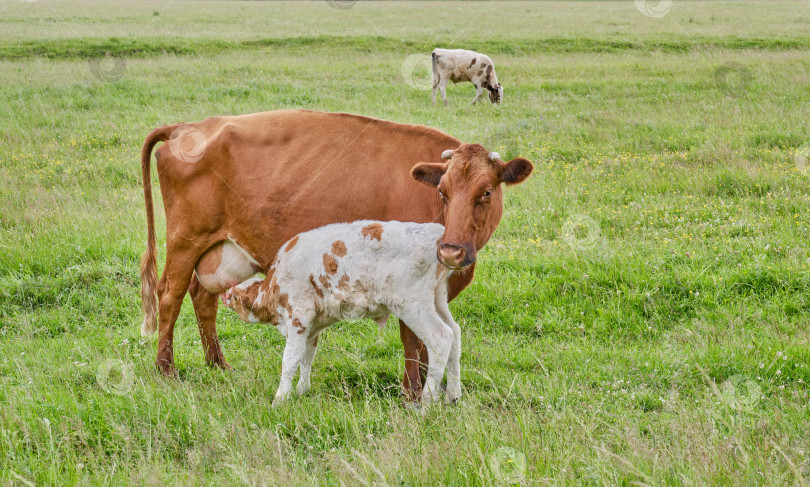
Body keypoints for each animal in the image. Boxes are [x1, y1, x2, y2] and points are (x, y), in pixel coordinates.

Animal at [221, 220, 460, 404]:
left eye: (235, 297)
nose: (225, 297)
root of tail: (433, 232)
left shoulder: (299, 317)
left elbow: (289, 360)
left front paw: (279, 399)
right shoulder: (312, 327)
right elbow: (306, 358)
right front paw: (302, 390)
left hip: (412, 304)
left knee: (441, 337)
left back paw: (427, 402)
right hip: (438, 299)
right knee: (455, 334)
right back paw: (453, 396)